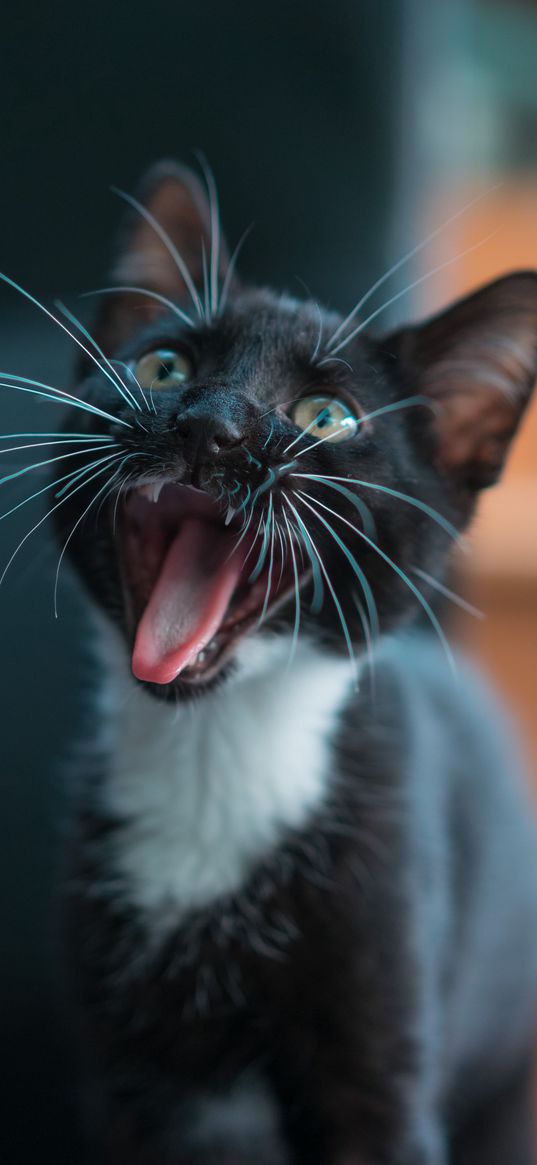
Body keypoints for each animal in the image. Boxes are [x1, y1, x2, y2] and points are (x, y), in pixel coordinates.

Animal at [42, 166, 537, 1165]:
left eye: (328, 417)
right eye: (164, 367)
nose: (213, 425)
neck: (215, 749)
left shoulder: (379, 1043)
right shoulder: (124, 1078)